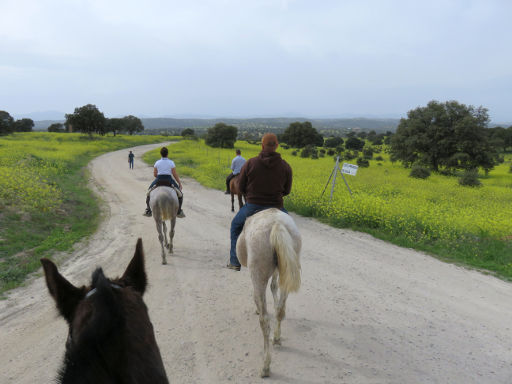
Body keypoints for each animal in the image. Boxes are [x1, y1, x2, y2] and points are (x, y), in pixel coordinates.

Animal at [236, 208, 300, 376]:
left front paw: (256, 308)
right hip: (287, 269)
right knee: (280, 309)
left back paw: (265, 366)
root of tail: (276, 224)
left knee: (265, 320)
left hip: (258, 273)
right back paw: (277, 339)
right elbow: (274, 286)